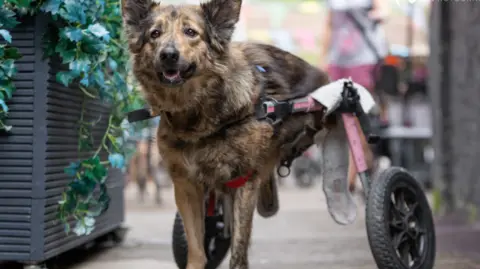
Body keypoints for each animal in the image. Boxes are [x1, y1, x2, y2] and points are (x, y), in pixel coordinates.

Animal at [120, 0, 332, 266]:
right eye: (154, 34)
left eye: (191, 32)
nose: (168, 55)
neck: (197, 117)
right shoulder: (187, 186)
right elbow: (196, 247)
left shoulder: (244, 181)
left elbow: (239, 250)